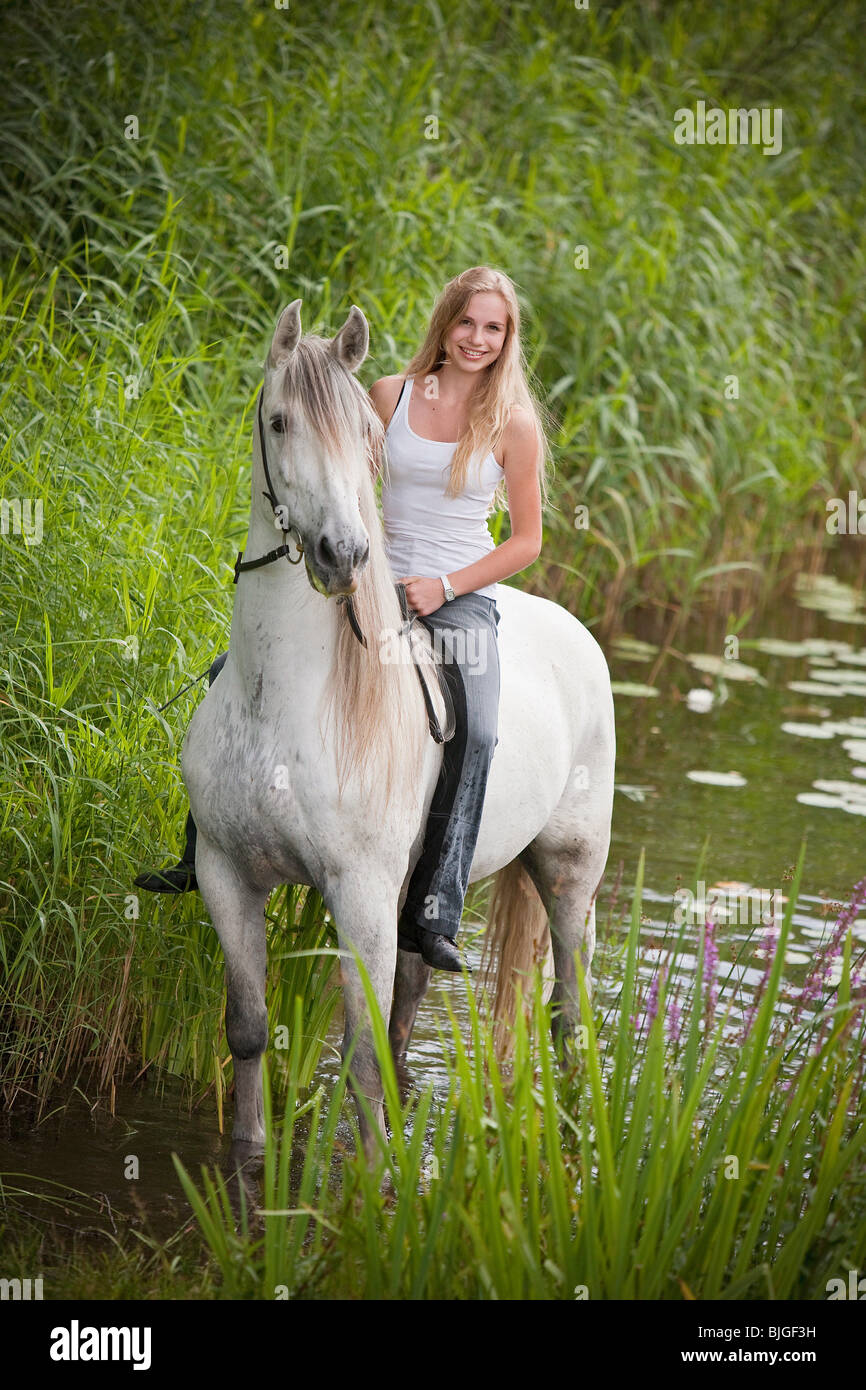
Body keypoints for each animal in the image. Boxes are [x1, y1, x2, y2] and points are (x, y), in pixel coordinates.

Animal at [180, 300, 616, 1161]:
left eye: (363, 434)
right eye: (279, 422)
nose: (342, 553)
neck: (278, 703)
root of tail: (574, 629)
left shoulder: (362, 894)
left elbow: (360, 1059)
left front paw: (368, 1181)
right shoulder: (226, 874)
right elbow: (249, 1030)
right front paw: (249, 1156)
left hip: (569, 874)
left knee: (567, 1011)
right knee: (416, 1001)